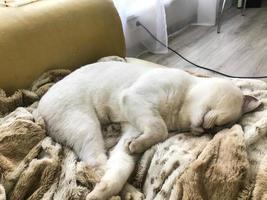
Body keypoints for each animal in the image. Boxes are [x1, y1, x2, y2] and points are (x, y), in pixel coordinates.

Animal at [37, 58, 260, 199]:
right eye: (222, 124)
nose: (209, 131)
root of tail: (38, 107)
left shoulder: (133, 127)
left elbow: (124, 160)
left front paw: (133, 146)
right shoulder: (136, 99)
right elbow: (159, 128)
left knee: (103, 167)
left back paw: (126, 192)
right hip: (86, 125)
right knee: (94, 164)